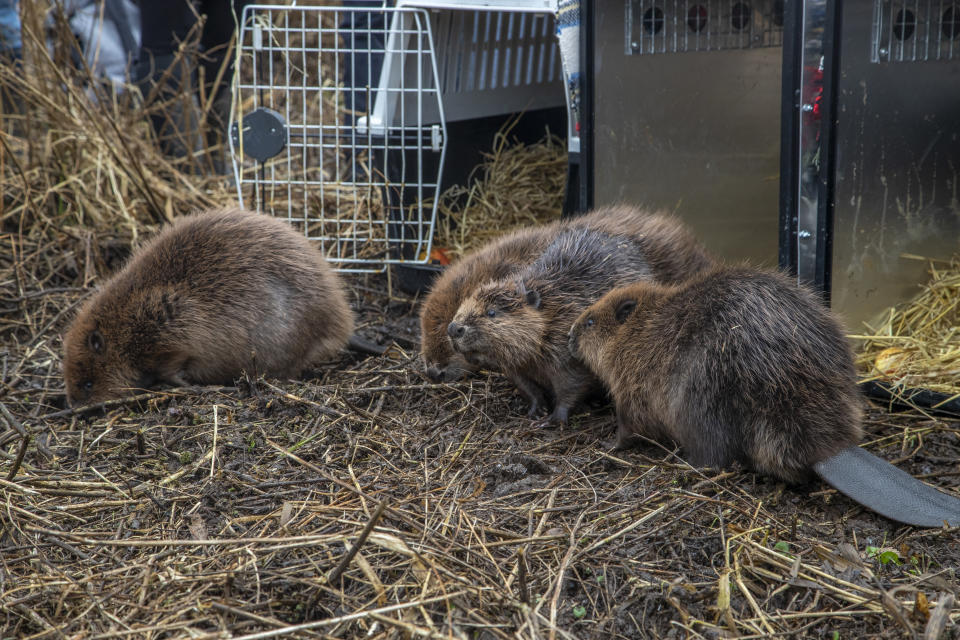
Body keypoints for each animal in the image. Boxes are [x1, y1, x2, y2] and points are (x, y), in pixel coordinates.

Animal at [64, 208, 356, 404]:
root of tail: (341, 321)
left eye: (87, 384)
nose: (74, 405)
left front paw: (185, 383)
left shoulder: (172, 324)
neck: (125, 318)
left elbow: (173, 365)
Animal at [568, 268, 860, 482]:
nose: (570, 334)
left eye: (590, 322)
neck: (640, 331)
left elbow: (628, 425)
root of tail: (827, 451)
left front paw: (607, 444)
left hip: (701, 398)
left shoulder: (632, 385)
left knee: (714, 455)